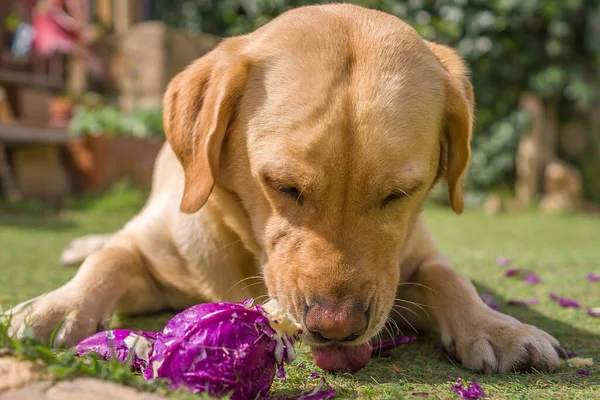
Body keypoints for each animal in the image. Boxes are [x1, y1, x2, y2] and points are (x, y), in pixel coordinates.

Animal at [8, 3, 568, 374]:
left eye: (399, 194)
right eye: (283, 186)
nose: (336, 327)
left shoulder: (415, 260)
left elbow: (449, 278)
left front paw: (497, 327)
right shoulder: (152, 252)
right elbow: (110, 259)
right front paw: (55, 307)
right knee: (104, 244)